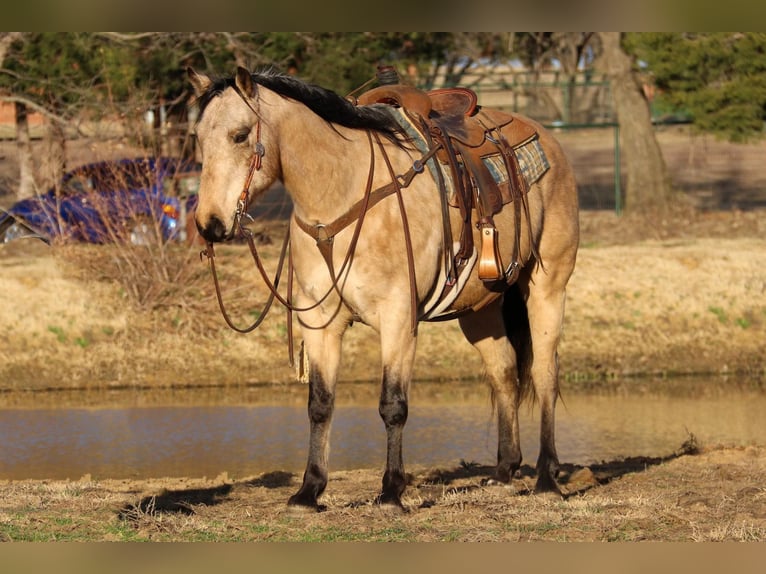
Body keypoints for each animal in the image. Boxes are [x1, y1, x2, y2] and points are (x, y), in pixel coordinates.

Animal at [189, 67, 580, 512]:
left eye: (240, 135)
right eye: (198, 138)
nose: (209, 223)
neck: (342, 195)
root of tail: (546, 138)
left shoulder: (398, 318)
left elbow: (393, 405)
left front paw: (392, 490)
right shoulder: (319, 323)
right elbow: (320, 404)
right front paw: (309, 491)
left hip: (548, 287)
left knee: (545, 374)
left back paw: (547, 477)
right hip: (479, 310)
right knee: (504, 374)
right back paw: (503, 471)